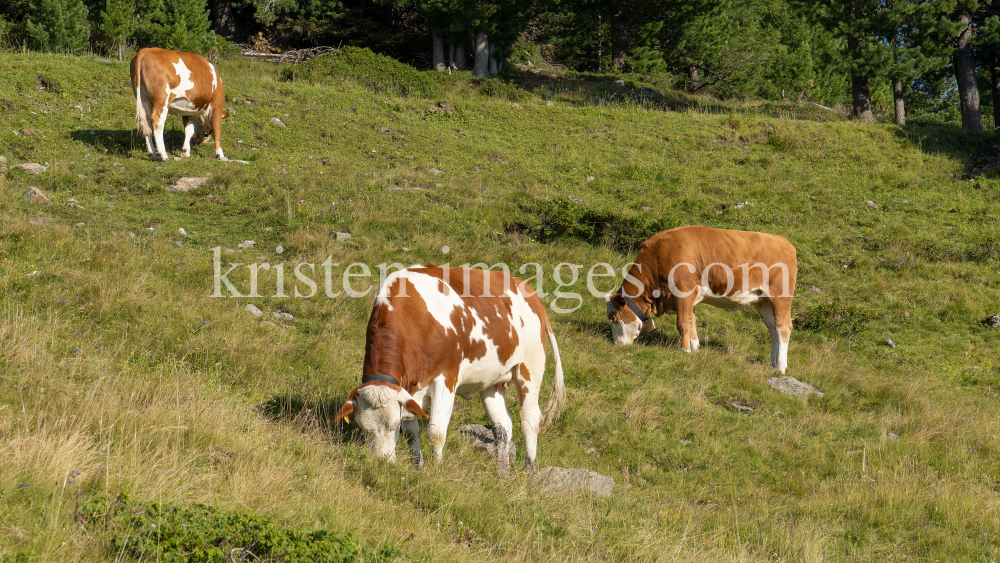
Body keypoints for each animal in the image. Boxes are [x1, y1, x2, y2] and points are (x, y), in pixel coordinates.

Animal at [336, 266, 568, 474]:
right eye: (364, 429)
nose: (382, 462)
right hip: (492, 382)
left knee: (530, 420)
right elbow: (412, 431)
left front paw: (436, 470)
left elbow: (436, 432)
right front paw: (418, 466)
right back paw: (503, 474)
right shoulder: (410, 390)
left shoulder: (446, 378)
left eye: (394, 426)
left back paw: (529, 471)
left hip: (530, 367)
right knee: (503, 426)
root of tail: (528, 289)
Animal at [600, 225, 796, 374]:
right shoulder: (688, 298)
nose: (617, 344)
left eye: (614, 317)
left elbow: (682, 323)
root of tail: (784, 242)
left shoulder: (683, 292)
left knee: (783, 327)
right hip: (763, 301)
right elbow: (691, 320)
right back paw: (772, 363)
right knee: (773, 329)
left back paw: (780, 367)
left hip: (780, 297)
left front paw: (685, 350)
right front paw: (695, 348)